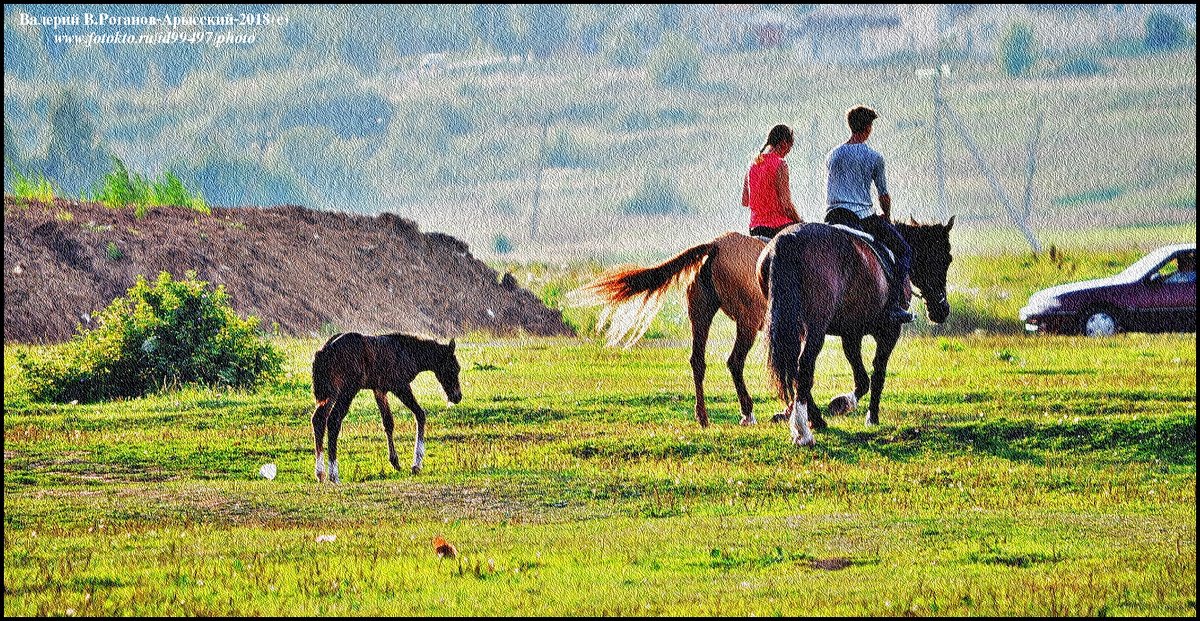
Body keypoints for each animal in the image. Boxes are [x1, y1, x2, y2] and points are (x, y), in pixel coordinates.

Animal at [309, 333, 458, 484]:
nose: (457, 396)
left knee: (318, 419)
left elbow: (388, 422)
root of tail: (326, 350)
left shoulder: (379, 390)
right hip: (347, 391)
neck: (407, 352)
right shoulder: (400, 386)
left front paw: (395, 461)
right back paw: (334, 474)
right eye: (454, 368)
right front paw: (416, 464)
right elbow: (420, 414)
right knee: (333, 420)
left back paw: (320, 473)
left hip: (330, 393)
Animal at [573, 231, 777, 431]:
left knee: (698, 362)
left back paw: (703, 416)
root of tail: (715, 245)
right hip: (747, 320)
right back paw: (747, 413)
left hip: (700, 315)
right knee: (735, 362)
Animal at [758, 221, 955, 445]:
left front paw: (843, 403)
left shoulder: (851, 333)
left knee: (793, 368)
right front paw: (869, 415)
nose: (942, 310)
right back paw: (803, 431)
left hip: (793, 326)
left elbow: (862, 377)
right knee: (804, 366)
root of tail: (786, 240)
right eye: (946, 259)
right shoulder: (889, 331)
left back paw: (816, 419)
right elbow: (878, 373)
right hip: (815, 327)